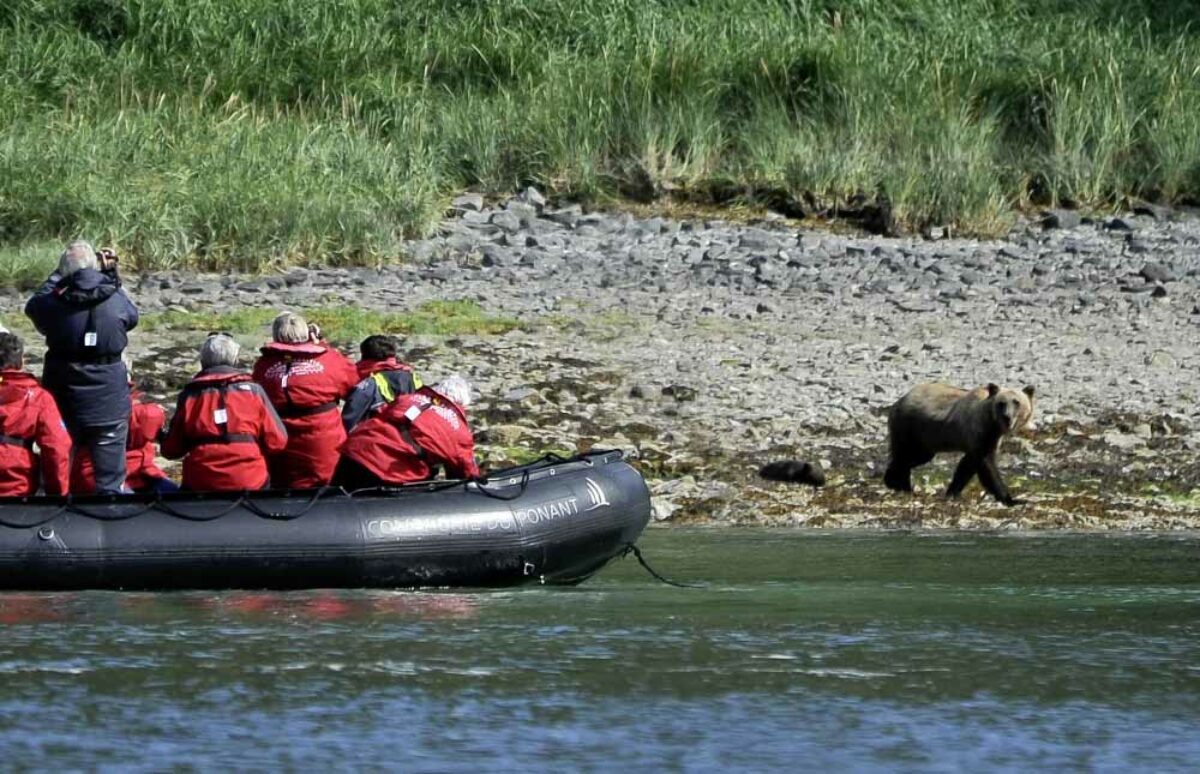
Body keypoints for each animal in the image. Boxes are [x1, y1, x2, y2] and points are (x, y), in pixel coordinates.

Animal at [878, 381, 1036, 506]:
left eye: (1016, 402)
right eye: (1001, 403)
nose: (1007, 417)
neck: (993, 425)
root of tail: (897, 402)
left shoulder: (988, 440)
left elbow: (966, 466)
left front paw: (953, 492)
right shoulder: (979, 433)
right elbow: (987, 466)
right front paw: (1012, 499)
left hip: (926, 438)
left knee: (916, 457)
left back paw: (900, 484)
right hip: (910, 427)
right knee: (904, 454)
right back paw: (895, 482)